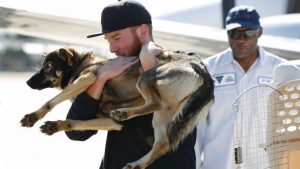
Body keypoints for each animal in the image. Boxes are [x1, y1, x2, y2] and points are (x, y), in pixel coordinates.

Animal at [20, 45, 213, 169]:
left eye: (49, 66)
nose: (27, 82)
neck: (82, 66)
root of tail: (203, 71)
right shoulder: (109, 122)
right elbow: (75, 123)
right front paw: (55, 125)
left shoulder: (86, 79)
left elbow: (51, 101)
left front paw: (33, 116)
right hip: (166, 114)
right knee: (162, 145)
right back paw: (137, 164)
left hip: (146, 79)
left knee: (154, 104)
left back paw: (124, 113)